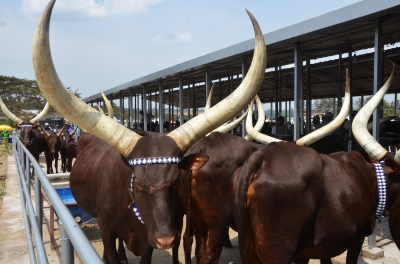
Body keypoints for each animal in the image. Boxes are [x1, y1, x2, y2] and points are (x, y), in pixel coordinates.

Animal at [32, 1, 268, 262]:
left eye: (175, 183)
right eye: (138, 185)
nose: (164, 239)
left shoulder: (149, 239)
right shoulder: (106, 228)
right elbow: (111, 251)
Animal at [231, 64, 400, 264]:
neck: (370, 177)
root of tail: (260, 159)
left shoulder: (315, 249)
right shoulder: (357, 237)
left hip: (249, 249)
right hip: (279, 252)